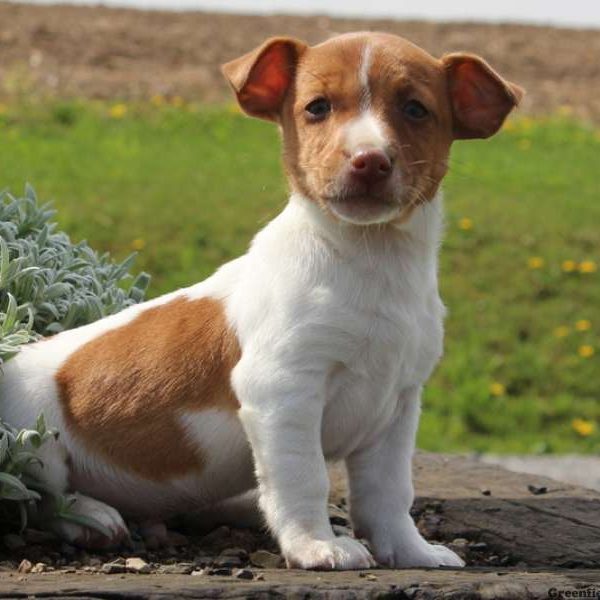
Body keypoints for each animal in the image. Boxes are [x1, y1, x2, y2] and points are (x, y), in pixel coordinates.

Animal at [0, 31, 524, 568]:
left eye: (415, 109)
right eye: (317, 107)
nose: (369, 160)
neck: (372, 258)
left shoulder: (396, 410)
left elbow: (390, 494)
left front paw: (410, 550)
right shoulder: (283, 392)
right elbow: (304, 478)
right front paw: (316, 546)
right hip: (32, 444)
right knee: (45, 500)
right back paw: (92, 518)